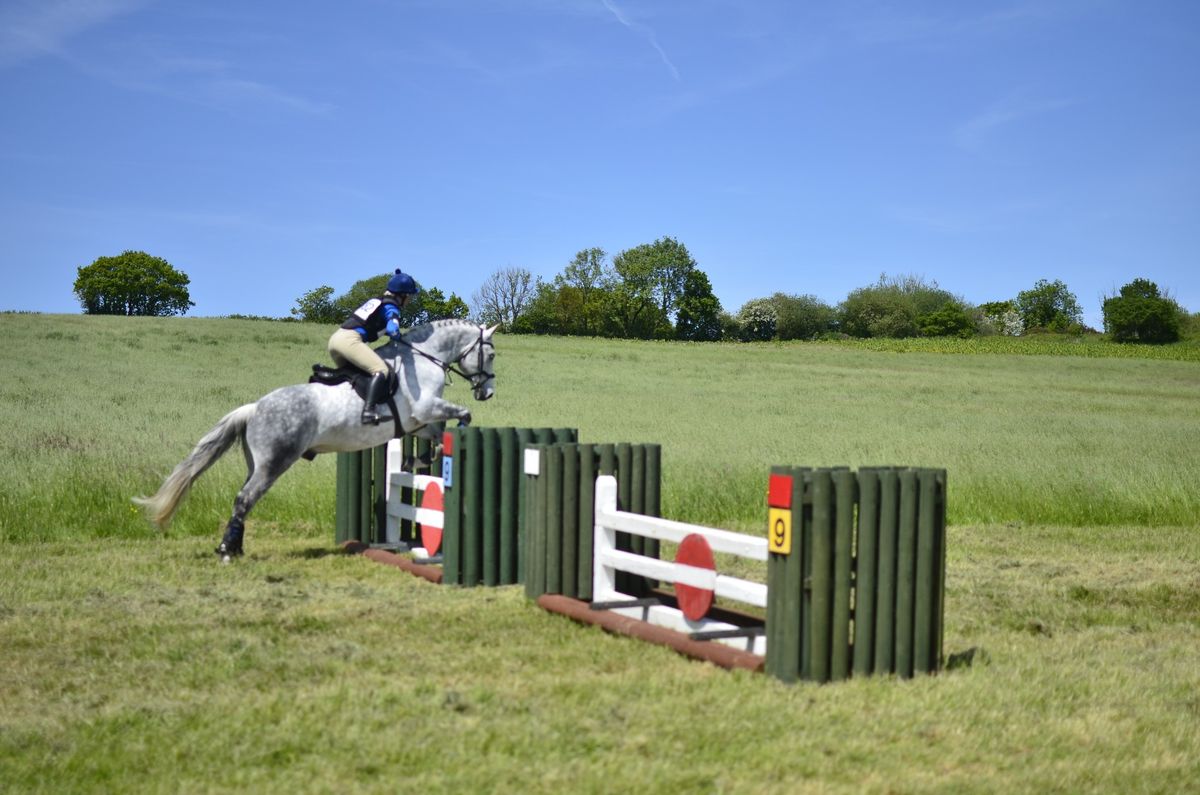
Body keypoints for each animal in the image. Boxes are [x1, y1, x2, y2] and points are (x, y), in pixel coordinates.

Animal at [136, 319, 496, 559]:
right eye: (490, 355)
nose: (487, 393)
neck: (423, 357)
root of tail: (254, 407)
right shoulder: (425, 407)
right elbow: (462, 415)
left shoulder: (416, 422)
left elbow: (436, 435)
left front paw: (416, 459)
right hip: (275, 463)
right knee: (245, 498)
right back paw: (227, 550)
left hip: (257, 463)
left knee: (244, 497)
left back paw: (234, 547)